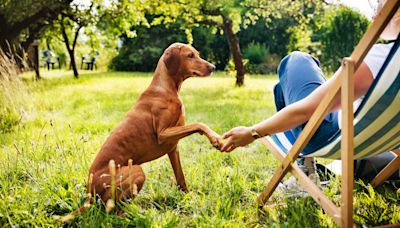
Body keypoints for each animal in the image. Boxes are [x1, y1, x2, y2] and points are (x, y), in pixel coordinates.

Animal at [86, 42, 220, 208]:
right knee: (111, 206)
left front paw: (189, 198)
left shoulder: (173, 148)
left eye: (197, 54)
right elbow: (198, 124)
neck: (166, 89)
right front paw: (214, 137)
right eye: (190, 55)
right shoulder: (163, 134)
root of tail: (89, 193)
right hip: (136, 171)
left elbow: (181, 178)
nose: (213, 67)